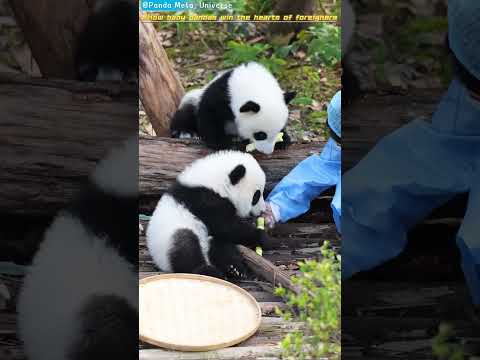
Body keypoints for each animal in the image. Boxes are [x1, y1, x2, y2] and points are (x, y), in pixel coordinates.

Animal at [146, 150, 266, 278]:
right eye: (256, 195)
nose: (262, 210)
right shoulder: (204, 200)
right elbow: (225, 226)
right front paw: (265, 238)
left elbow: (226, 231)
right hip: (168, 239)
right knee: (185, 245)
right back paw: (207, 271)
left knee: (220, 245)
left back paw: (233, 268)